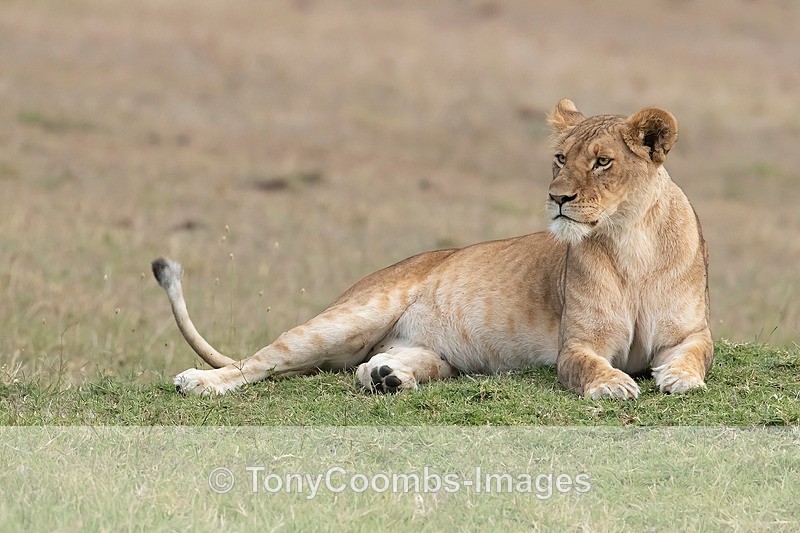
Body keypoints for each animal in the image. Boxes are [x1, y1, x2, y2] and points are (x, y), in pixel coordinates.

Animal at [152, 99, 713, 399]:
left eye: (602, 162)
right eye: (559, 158)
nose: (557, 198)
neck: (630, 242)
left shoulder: (691, 331)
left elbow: (697, 354)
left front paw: (678, 378)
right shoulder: (575, 344)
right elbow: (589, 365)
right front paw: (613, 385)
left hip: (427, 353)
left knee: (375, 363)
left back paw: (386, 376)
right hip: (351, 315)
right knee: (260, 362)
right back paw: (199, 381)